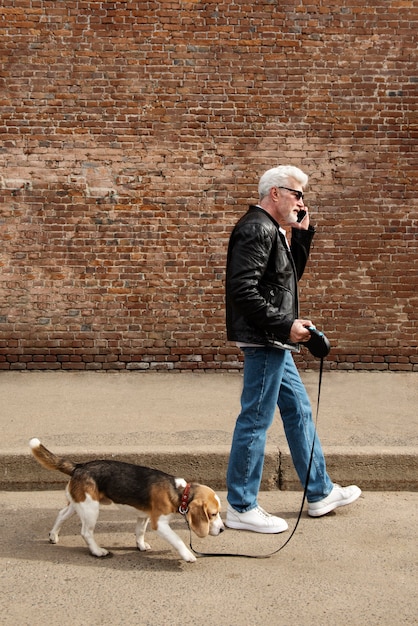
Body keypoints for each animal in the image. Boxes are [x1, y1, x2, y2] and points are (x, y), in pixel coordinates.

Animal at [29, 436, 224, 564]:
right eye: (213, 514)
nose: (222, 530)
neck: (179, 492)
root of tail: (79, 466)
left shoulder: (143, 516)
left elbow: (139, 532)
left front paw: (141, 545)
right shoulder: (159, 524)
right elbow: (177, 539)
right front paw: (187, 555)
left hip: (79, 504)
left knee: (61, 514)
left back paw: (53, 535)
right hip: (90, 509)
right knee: (86, 532)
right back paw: (97, 551)